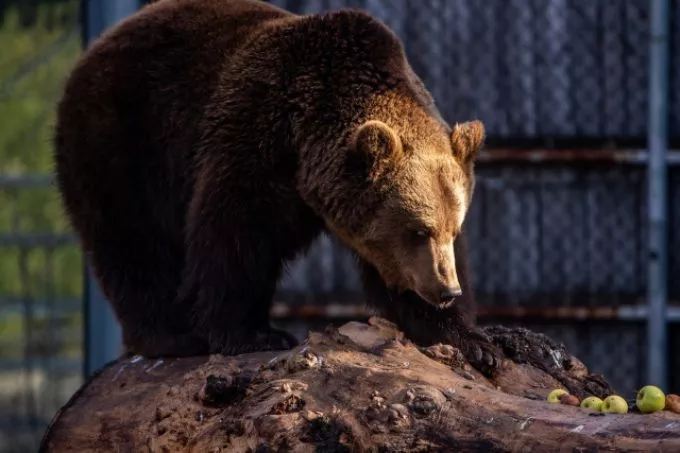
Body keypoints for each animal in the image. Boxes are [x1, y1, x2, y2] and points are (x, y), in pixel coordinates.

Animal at [53, 0, 502, 374]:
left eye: (452, 230)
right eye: (418, 230)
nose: (446, 289)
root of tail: (99, 43)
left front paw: (473, 341)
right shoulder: (253, 138)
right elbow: (233, 236)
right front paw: (254, 333)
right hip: (122, 140)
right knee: (132, 240)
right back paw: (171, 334)